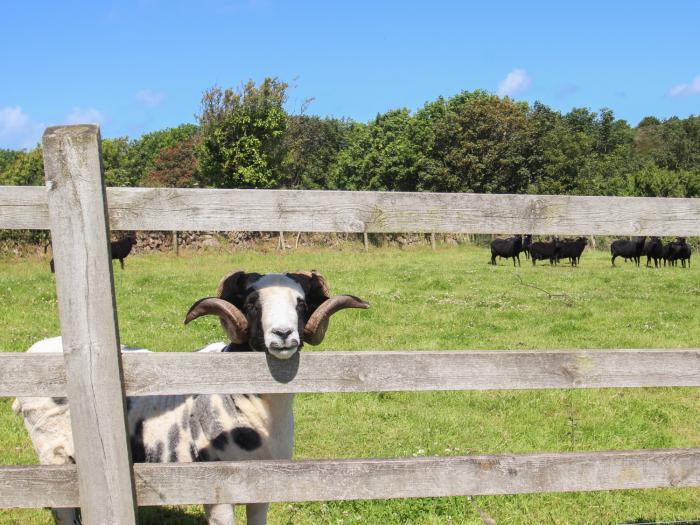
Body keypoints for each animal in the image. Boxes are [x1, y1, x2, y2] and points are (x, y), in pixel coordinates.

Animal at [12, 270, 372, 524]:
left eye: (301, 304)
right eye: (252, 304)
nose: (283, 335)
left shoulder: (263, 485)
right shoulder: (218, 490)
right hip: (53, 455)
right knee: (62, 509)